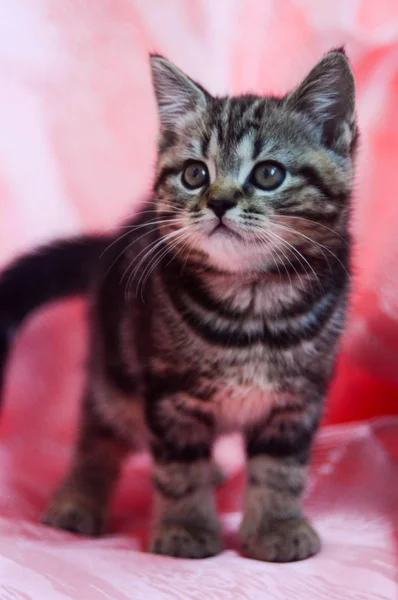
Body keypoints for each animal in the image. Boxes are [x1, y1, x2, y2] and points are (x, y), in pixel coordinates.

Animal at [0, 48, 356, 564]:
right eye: (195, 173)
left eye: (268, 173)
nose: (220, 202)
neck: (253, 305)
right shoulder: (170, 393)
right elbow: (179, 469)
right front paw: (187, 528)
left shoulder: (298, 398)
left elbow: (281, 469)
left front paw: (277, 525)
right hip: (115, 364)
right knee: (99, 432)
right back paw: (78, 498)